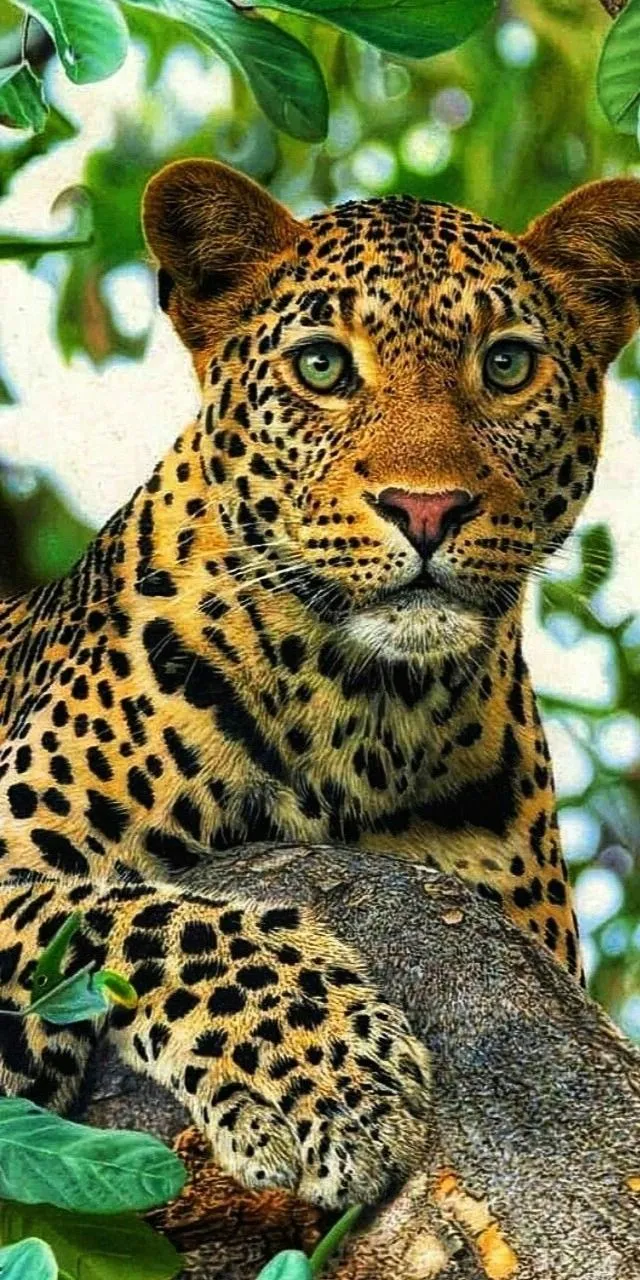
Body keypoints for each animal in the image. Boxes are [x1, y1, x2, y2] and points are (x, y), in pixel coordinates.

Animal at [0, 159, 638, 1210]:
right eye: (324, 368)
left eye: (508, 366)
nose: (427, 508)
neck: (366, 712)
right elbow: (128, 911)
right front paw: (325, 1075)